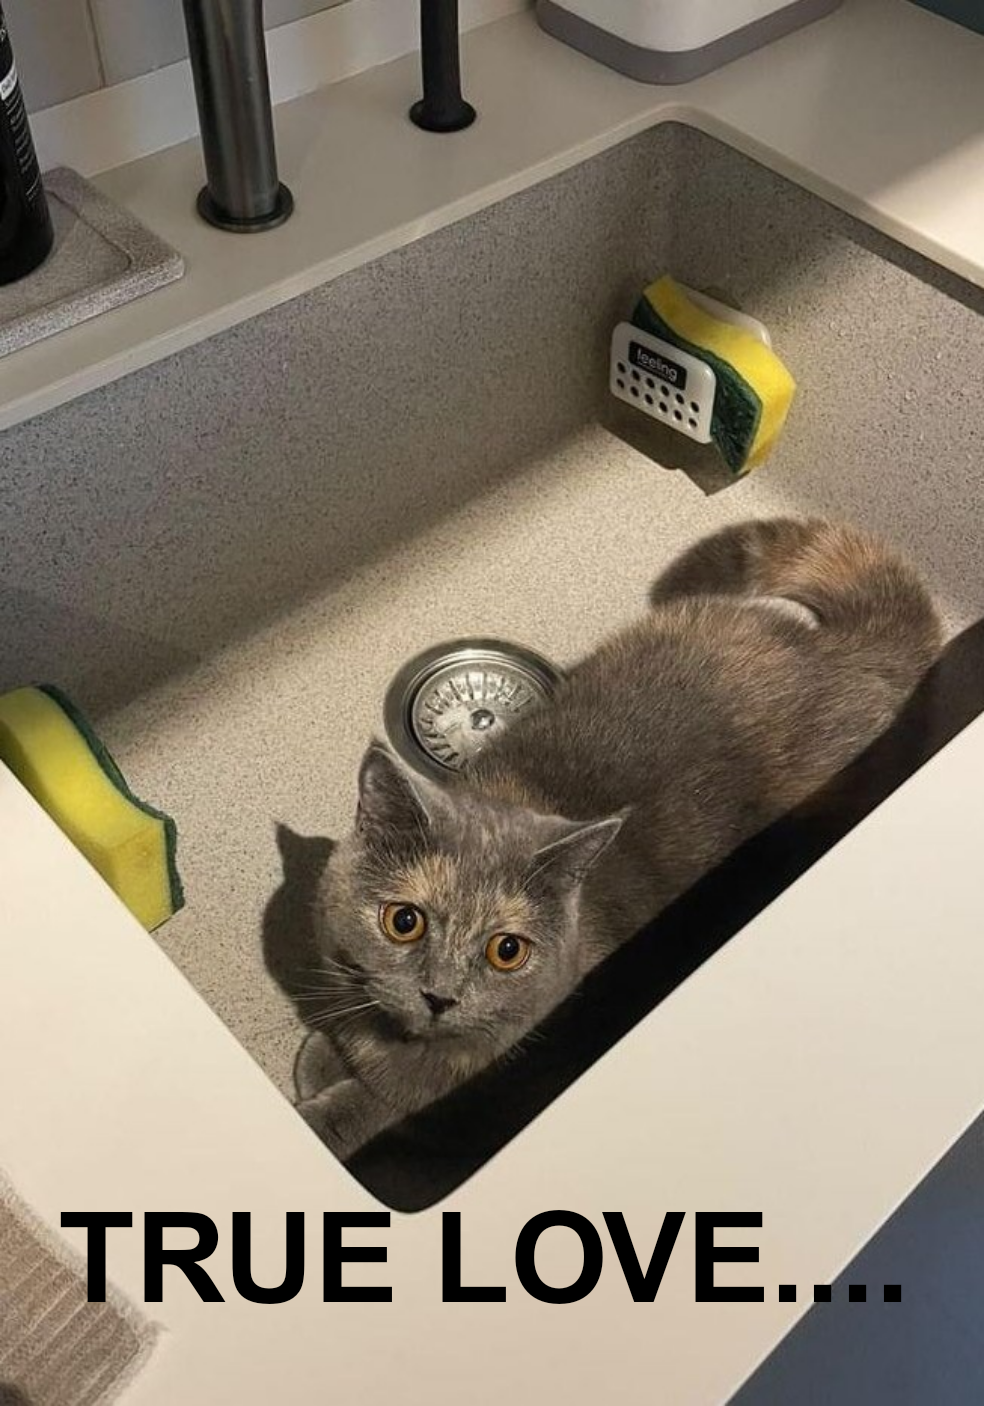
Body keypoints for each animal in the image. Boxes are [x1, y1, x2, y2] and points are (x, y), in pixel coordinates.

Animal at [295, 518, 940, 1159]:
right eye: (405, 921)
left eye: (507, 952)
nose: (441, 995)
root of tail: (844, 658)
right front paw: (322, 1052)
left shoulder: (454, 1073)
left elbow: (374, 1104)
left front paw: (322, 1106)